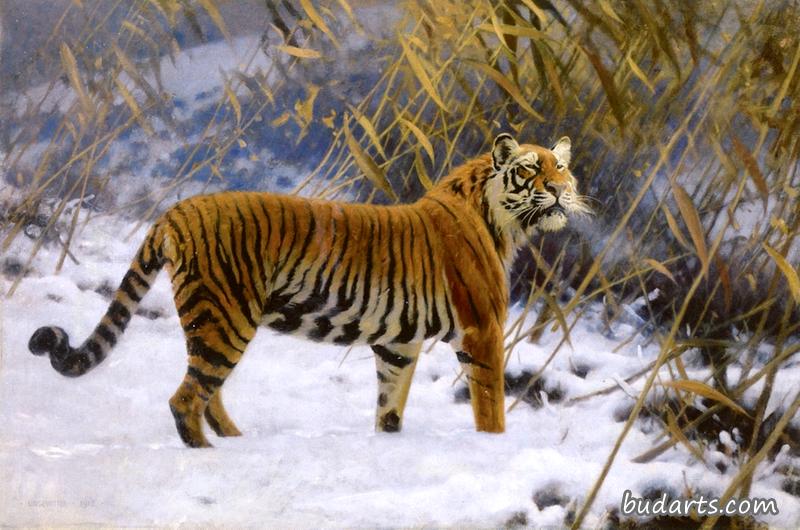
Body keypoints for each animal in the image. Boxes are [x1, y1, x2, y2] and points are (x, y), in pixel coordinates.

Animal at [28, 132, 588, 448]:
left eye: (562, 167)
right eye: (532, 168)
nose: (561, 190)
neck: (504, 222)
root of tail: (178, 209)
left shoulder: (398, 345)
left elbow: (389, 406)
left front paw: (389, 445)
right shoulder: (482, 329)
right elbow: (491, 406)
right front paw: (494, 448)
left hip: (212, 320)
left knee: (206, 392)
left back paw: (237, 443)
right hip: (226, 317)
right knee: (186, 399)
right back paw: (210, 455)